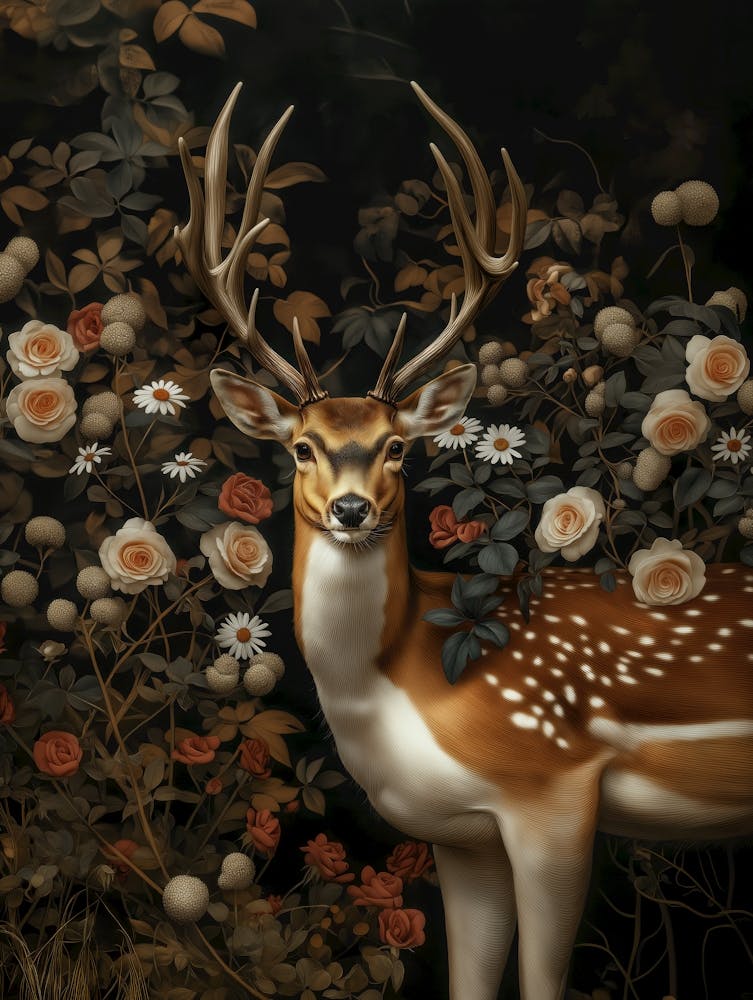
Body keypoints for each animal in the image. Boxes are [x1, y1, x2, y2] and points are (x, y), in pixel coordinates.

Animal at [175, 82, 753, 1000]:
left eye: (394, 446)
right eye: (300, 445)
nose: (349, 510)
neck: (406, 679)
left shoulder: (554, 786)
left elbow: (541, 981)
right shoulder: (459, 834)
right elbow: (469, 979)